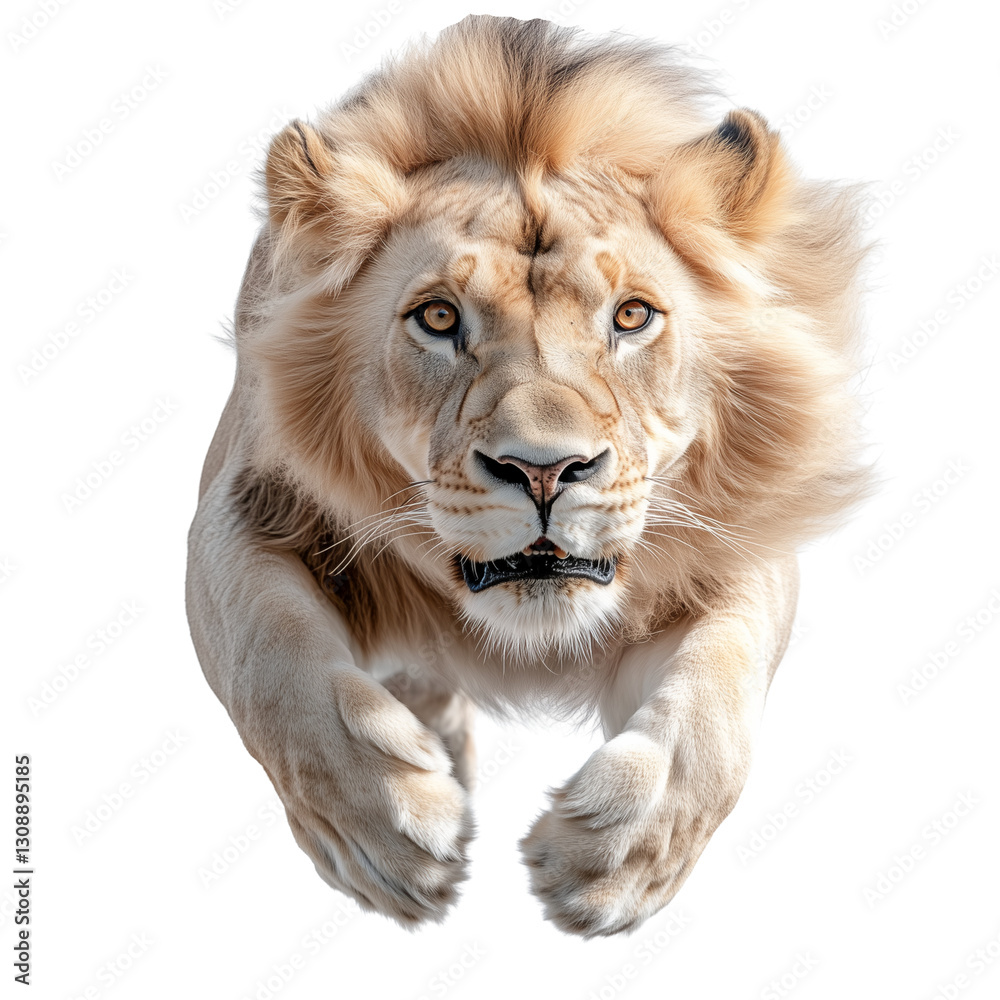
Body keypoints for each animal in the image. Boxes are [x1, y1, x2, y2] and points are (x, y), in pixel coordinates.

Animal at [186, 15, 870, 937]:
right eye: (439, 317)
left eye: (631, 316)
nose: (544, 470)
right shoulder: (240, 505)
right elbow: (268, 656)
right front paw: (388, 827)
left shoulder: (740, 536)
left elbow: (716, 699)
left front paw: (610, 861)